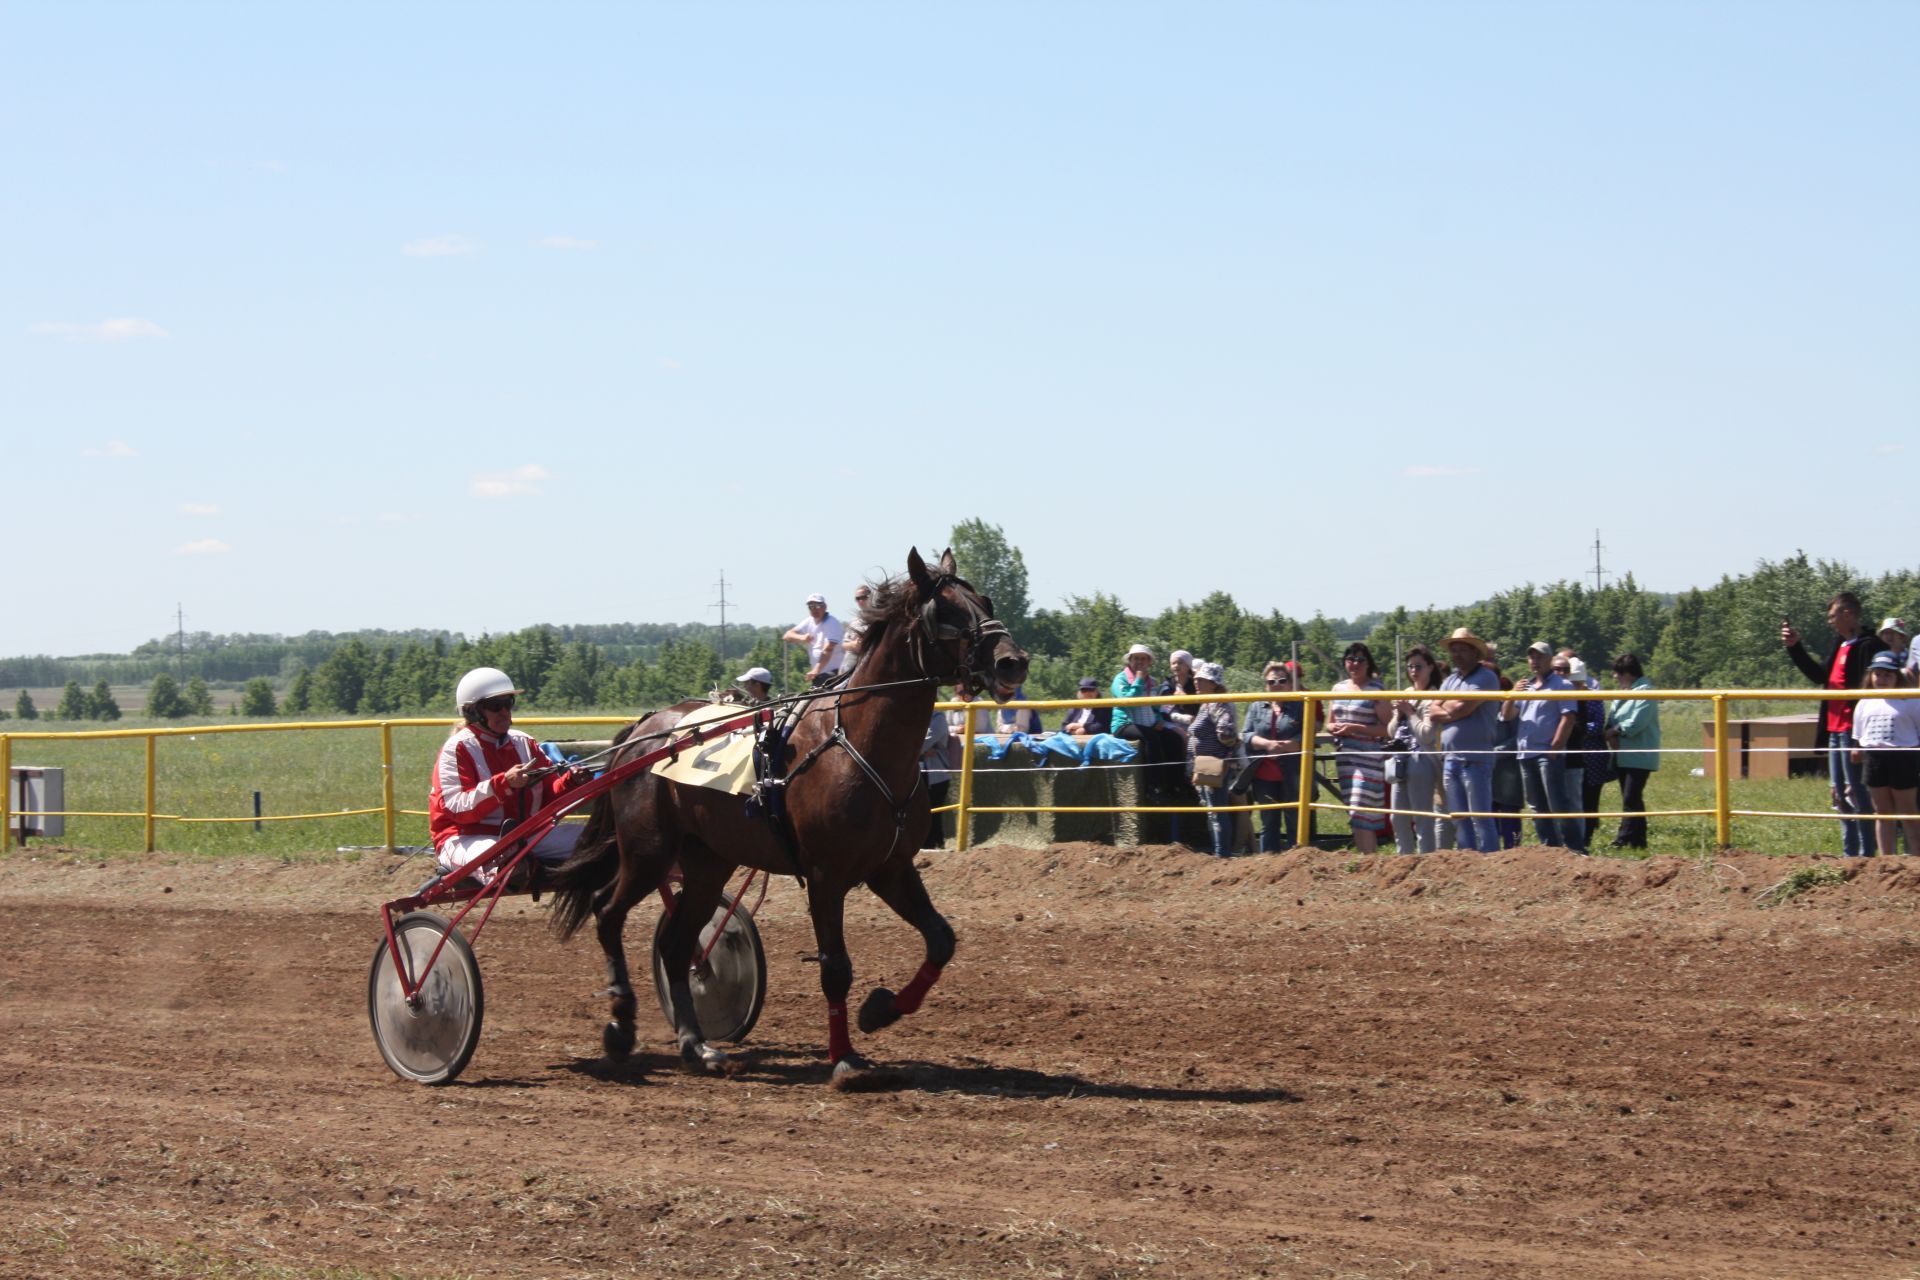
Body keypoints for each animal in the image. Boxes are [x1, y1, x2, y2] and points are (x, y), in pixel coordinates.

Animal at [549, 545, 1029, 1090]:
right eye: (945, 609)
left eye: (984, 600)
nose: (1013, 661)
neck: (858, 742)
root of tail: (646, 729)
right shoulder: (825, 875)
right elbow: (835, 968)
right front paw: (844, 1058)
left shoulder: (891, 868)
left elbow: (941, 940)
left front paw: (880, 1010)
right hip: (649, 851)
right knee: (608, 912)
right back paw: (621, 1026)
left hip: (707, 862)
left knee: (675, 945)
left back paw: (697, 1046)